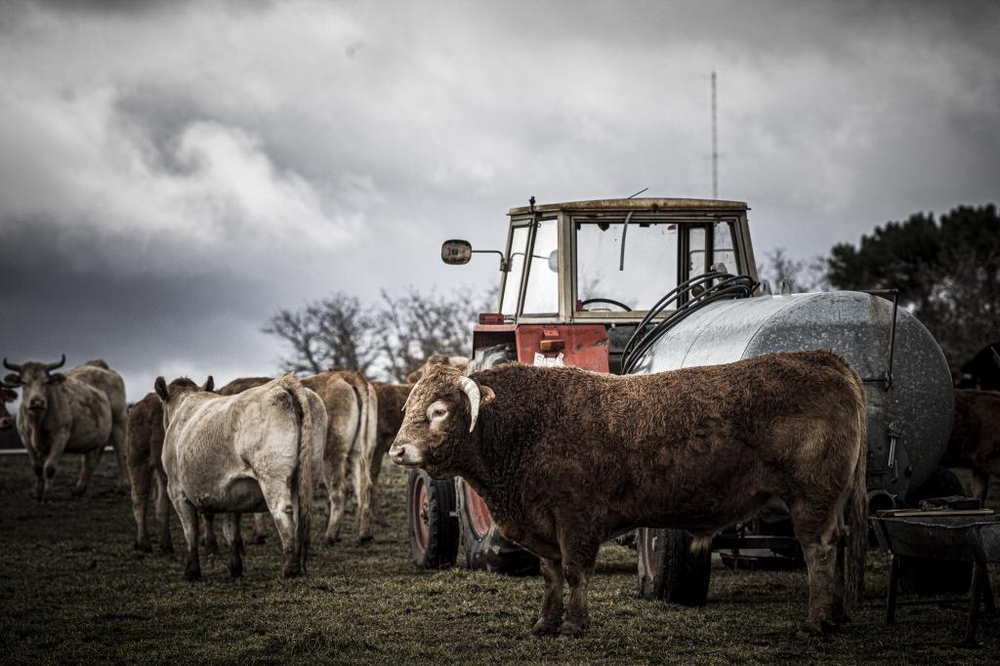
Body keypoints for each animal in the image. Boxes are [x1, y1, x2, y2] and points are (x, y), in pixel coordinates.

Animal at [4, 356, 129, 496]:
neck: (37, 423)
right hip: (95, 435)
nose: (37, 402)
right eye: (24, 382)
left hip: (119, 421)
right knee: (90, 460)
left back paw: (123, 486)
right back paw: (79, 489)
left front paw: (47, 494)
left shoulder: (61, 436)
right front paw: (38, 492)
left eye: (46, 382)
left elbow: (49, 467)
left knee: (121, 453)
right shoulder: (25, 439)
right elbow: (37, 468)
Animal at [390, 350, 868, 636]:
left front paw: (574, 625)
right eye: (408, 407)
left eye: (438, 411)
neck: (526, 428)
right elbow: (551, 575)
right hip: (833, 501)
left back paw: (817, 621)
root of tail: (824, 358)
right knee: (841, 545)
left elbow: (576, 573)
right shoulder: (542, 523)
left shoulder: (575, 518)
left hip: (811, 498)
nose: (397, 449)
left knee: (819, 550)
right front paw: (545, 623)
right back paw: (838, 614)